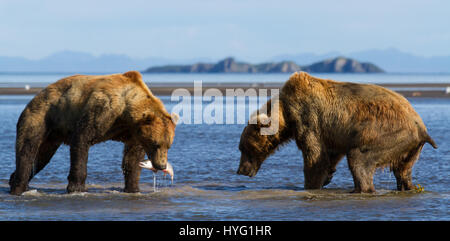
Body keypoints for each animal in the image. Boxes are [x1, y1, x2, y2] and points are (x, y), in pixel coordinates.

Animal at [8, 70, 178, 195]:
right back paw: (18, 187)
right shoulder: (103, 109)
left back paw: (15, 181)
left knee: (41, 158)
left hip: (52, 135)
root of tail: (33, 99)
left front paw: (133, 188)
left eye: (168, 145)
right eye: (155, 144)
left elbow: (132, 158)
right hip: (40, 117)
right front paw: (77, 188)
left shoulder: (133, 133)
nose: (161, 165)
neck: (125, 112)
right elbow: (82, 140)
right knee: (27, 151)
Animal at [237, 71, 438, 192]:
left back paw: (361, 189)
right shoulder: (332, 133)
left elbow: (315, 155)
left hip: (388, 133)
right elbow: (330, 154)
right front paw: (327, 177)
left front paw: (310, 185)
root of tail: (420, 126)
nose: (240, 171)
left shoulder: (308, 118)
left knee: (359, 158)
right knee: (403, 170)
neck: (285, 112)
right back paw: (408, 187)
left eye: (243, 148)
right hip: (409, 148)